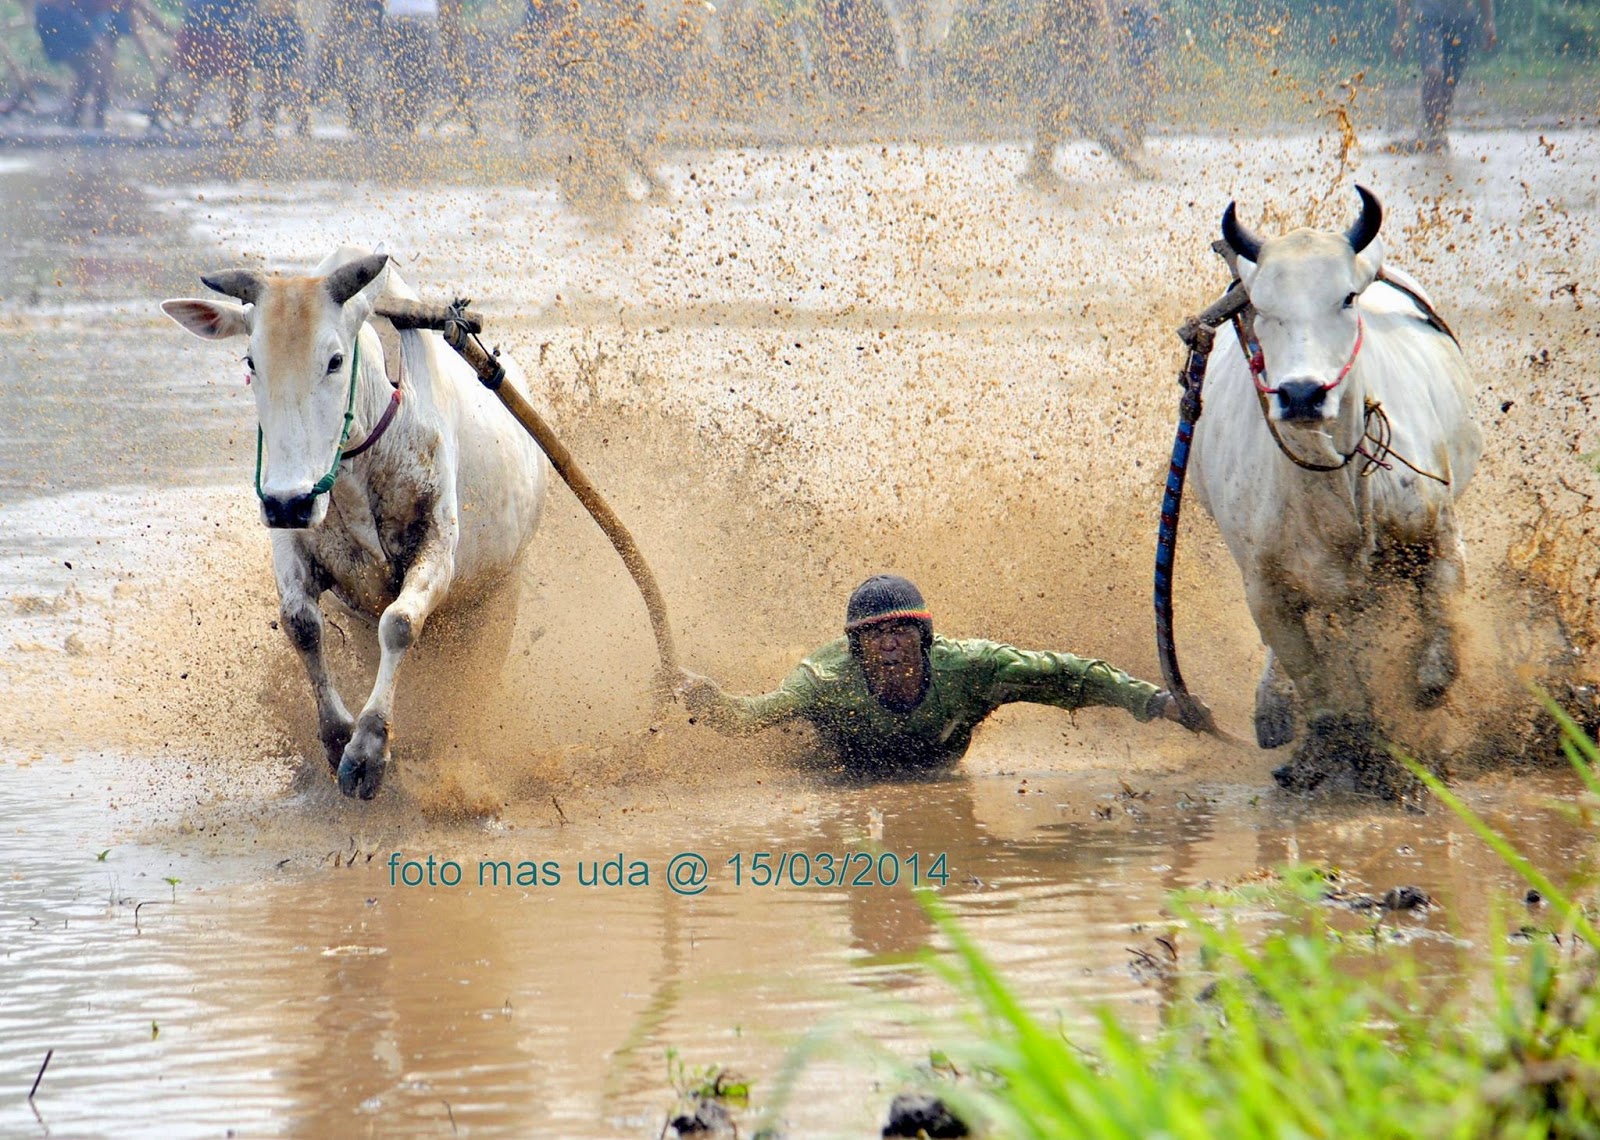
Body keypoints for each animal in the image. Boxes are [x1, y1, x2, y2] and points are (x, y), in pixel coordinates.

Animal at [163, 246, 550, 800]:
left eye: (334, 360)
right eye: (251, 360)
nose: (288, 502)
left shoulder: (438, 551)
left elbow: (401, 623)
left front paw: (368, 750)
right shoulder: (292, 541)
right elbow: (301, 624)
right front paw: (335, 737)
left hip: (498, 596)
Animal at [1196, 184, 1478, 794]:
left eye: (1346, 298)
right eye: (1263, 307)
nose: (1302, 394)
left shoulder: (1439, 535)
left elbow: (1438, 658)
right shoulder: (1265, 588)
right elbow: (1317, 679)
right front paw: (1327, 749)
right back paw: (1274, 708)